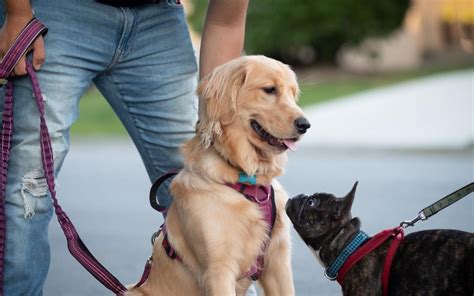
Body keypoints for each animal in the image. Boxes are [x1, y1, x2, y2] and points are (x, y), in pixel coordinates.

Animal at [127, 56, 312, 296]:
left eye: (292, 93)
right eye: (270, 89)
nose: (305, 125)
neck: (248, 181)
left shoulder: (278, 261)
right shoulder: (219, 269)